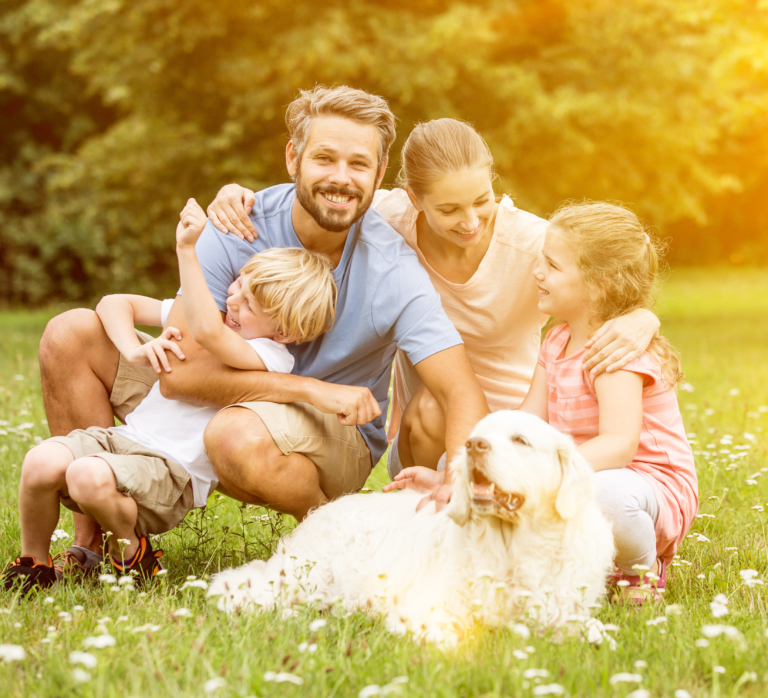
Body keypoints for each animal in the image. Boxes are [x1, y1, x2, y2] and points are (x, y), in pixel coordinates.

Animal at [207, 410, 616, 644]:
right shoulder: (431, 610)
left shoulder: (568, 612)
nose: (473, 445)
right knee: (246, 587)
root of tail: (321, 512)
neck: (514, 548)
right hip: (306, 576)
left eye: (521, 440)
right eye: (479, 433)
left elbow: (598, 636)